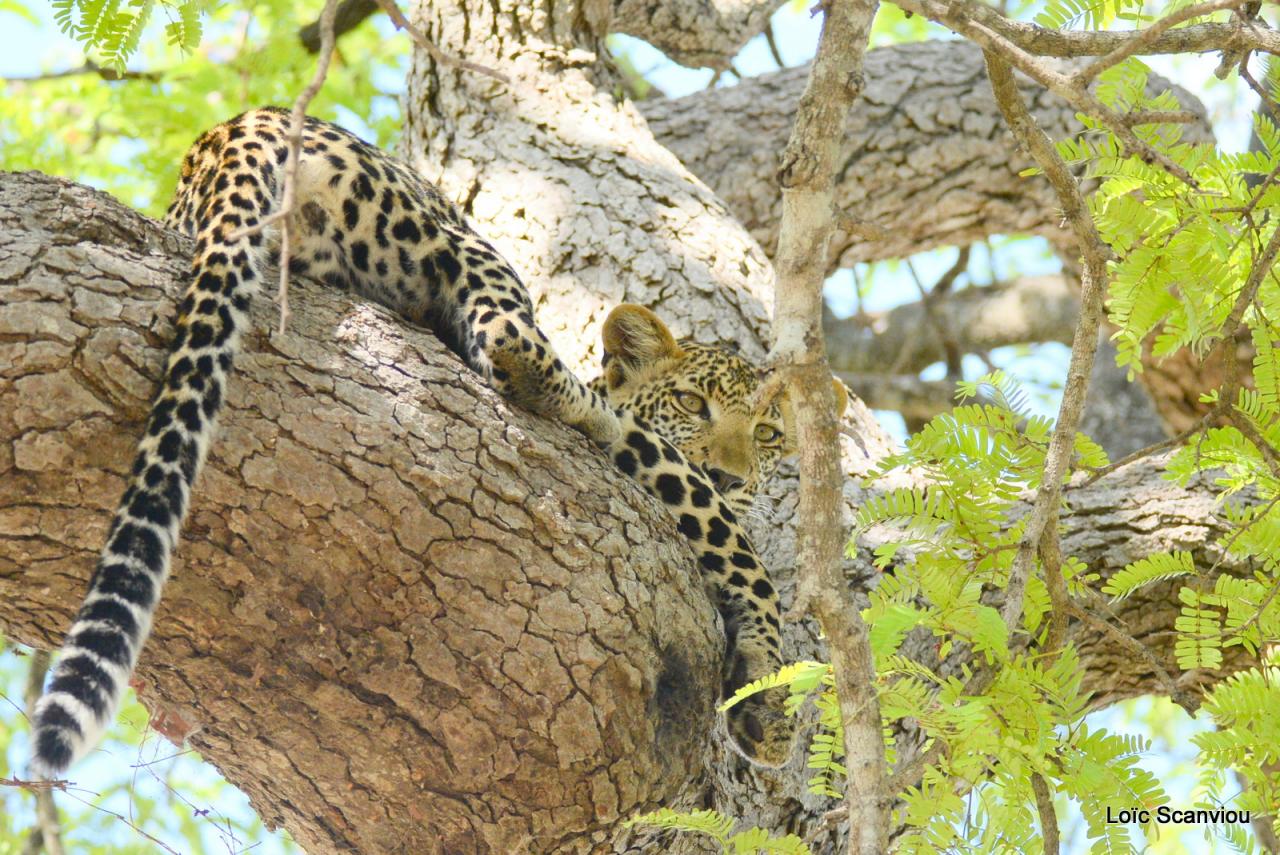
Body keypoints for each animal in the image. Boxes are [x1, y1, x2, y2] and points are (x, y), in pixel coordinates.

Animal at [30, 104, 839, 773]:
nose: (735, 475)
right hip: (454, 235)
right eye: (693, 404)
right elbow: (749, 561)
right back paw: (574, 402)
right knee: (512, 339)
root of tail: (232, 129)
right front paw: (770, 692)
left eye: (769, 434)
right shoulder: (679, 470)